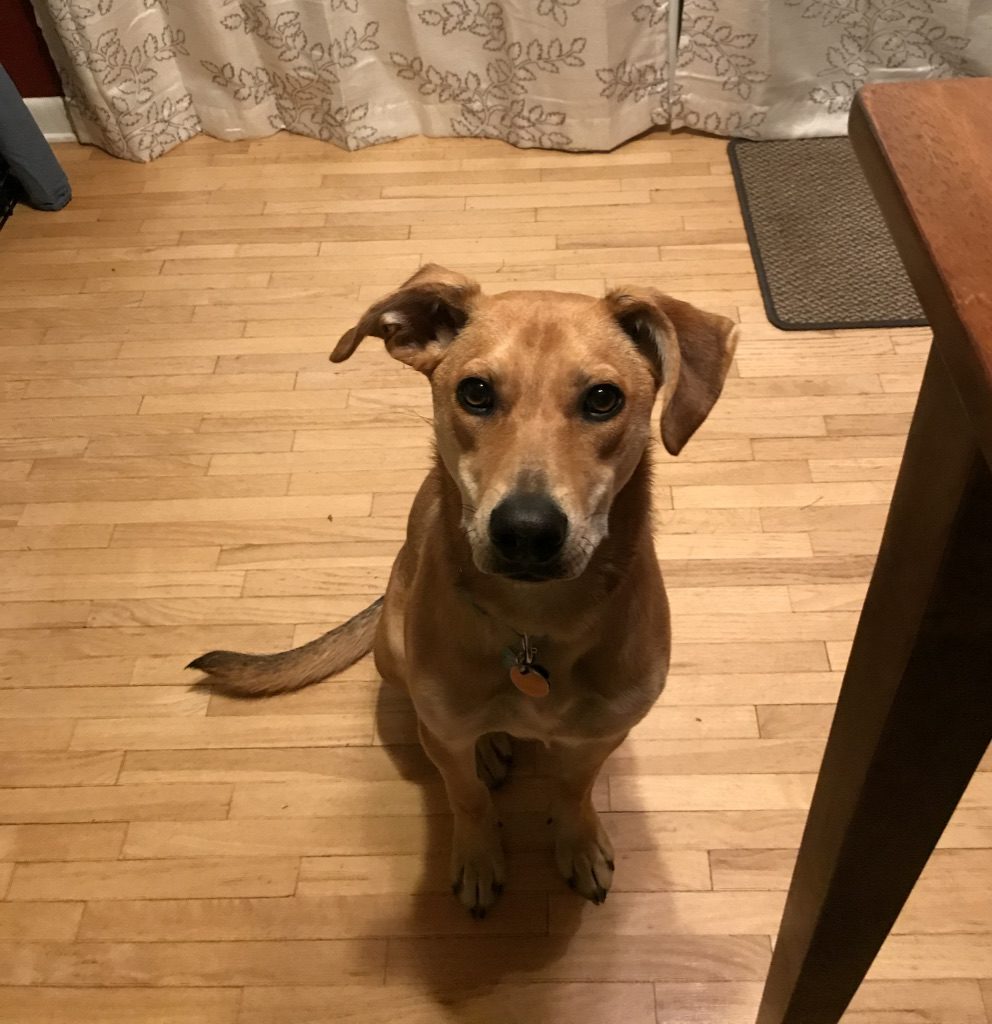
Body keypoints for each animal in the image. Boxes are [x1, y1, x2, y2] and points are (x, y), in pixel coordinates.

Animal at [189, 262, 741, 913]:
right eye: (475, 392)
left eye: (604, 398)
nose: (526, 531)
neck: (535, 626)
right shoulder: (445, 739)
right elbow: (467, 796)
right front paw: (479, 859)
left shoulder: (605, 732)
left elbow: (574, 788)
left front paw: (578, 842)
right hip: (393, 647)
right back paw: (492, 746)